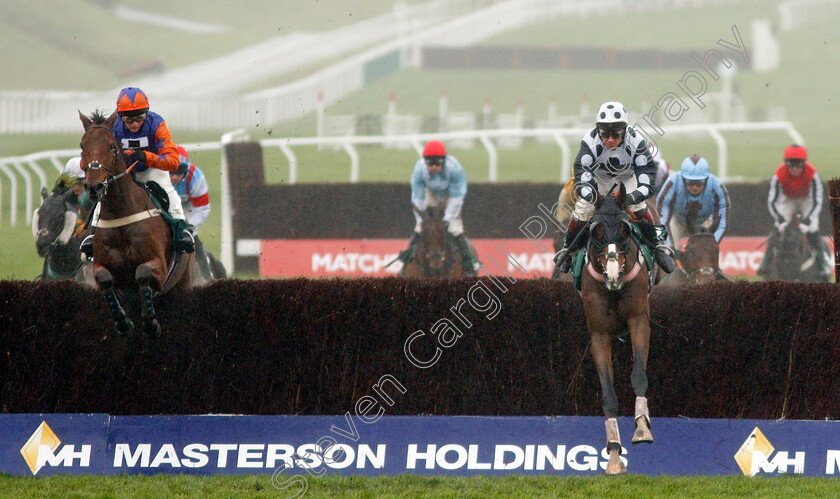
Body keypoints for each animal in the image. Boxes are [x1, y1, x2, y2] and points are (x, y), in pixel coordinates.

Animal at [77, 111, 192, 338]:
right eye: (82, 145)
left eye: (112, 146)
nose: (94, 187)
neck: (121, 214)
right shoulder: (100, 267)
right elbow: (104, 279)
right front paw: (122, 321)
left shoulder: (159, 267)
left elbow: (142, 273)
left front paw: (150, 322)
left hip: (183, 281)